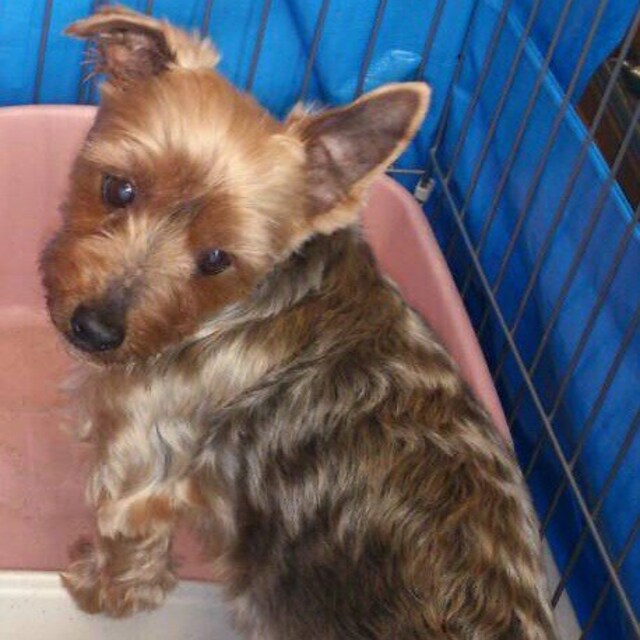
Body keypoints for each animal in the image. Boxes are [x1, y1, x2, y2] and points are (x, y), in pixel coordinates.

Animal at [40, 6, 557, 639]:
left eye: (217, 259)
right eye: (118, 188)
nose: (95, 330)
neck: (236, 308)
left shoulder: (141, 462)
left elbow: (127, 542)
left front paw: (99, 587)